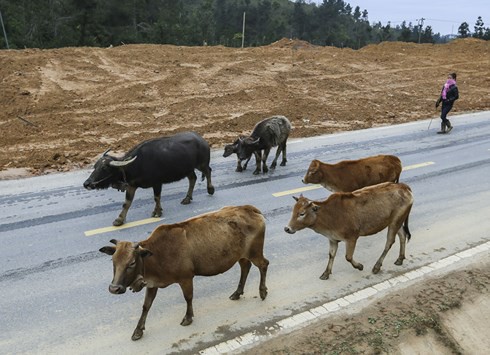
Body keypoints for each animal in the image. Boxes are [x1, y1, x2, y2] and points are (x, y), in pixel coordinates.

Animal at [83, 132, 214, 227]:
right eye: (95, 166)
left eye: (104, 168)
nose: (86, 184)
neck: (135, 164)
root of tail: (201, 139)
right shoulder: (132, 185)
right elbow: (127, 203)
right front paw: (119, 220)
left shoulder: (157, 183)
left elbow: (156, 198)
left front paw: (157, 212)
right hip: (188, 169)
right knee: (193, 178)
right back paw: (187, 199)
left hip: (201, 164)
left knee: (208, 172)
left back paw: (210, 189)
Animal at [99, 206, 268, 342]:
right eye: (113, 261)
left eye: (132, 263)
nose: (114, 288)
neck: (157, 255)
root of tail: (249, 208)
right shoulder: (152, 284)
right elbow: (146, 306)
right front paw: (138, 331)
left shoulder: (186, 278)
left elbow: (188, 297)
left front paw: (188, 317)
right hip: (241, 255)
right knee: (245, 267)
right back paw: (237, 293)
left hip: (255, 252)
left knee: (263, 265)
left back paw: (262, 292)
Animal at [284, 184, 414, 280]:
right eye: (293, 211)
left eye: (302, 213)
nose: (287, 228)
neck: (329, 215)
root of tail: (403, 186)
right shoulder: (332, 239)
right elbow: (331, 255)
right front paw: (326, 273)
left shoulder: (352, 237)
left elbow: (348, 257)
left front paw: (360, 266)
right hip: (396, 221)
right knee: (403, 235)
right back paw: (400, 259)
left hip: (395, 222)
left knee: (389, 242)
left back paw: (377, 267)